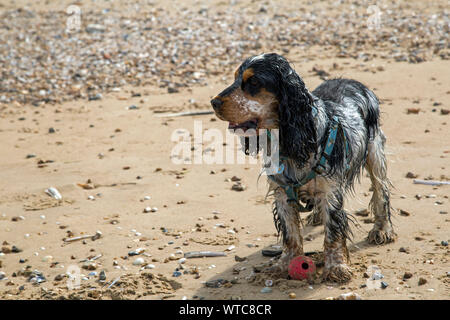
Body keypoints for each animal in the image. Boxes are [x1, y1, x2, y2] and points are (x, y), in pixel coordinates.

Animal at [209, 53, 396, 282]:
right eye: (235, 77)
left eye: (253, 82)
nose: (213, 102)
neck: (292, 140)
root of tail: (354, 82)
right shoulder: (282, 193)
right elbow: (290, 233)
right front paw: (285, 263)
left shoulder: (330, 190)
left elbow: (333, 232)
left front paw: (337, 267)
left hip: (374, 152)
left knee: (381, 191)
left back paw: (382, 229)